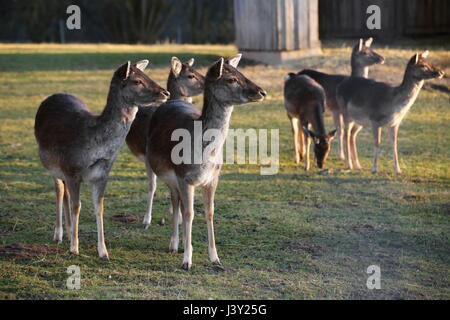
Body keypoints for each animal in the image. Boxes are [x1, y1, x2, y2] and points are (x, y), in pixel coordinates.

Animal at [34, 60, 169, 260]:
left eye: (146, 75)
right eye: (137, 81)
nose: (165, 93)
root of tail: (53, 96)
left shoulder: (102, 174)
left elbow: (99, 208)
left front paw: (103, 252)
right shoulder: (72, 169)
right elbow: (76, 206)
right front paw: (74, 248)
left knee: (65, 193)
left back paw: (68, 232)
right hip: (52, 166)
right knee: (59, 191)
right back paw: (59, 235)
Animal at [125, 57, 206, 230]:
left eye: (196, 70)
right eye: (190, 75)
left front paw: (177, 215)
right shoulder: (148, 155)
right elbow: (152, 185)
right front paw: (146, 221)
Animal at [146, 54, 266, 270]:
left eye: (241, 73)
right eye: (231, 79)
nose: (262, 92)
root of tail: (172, 100)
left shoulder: (213, 178)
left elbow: (209, 212)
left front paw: (215, 258)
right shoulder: (184, 177)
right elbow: (189, 214)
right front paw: (187, 261)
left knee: (177, 202)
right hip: (168, 174)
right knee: (175, 201)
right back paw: (173, 244)